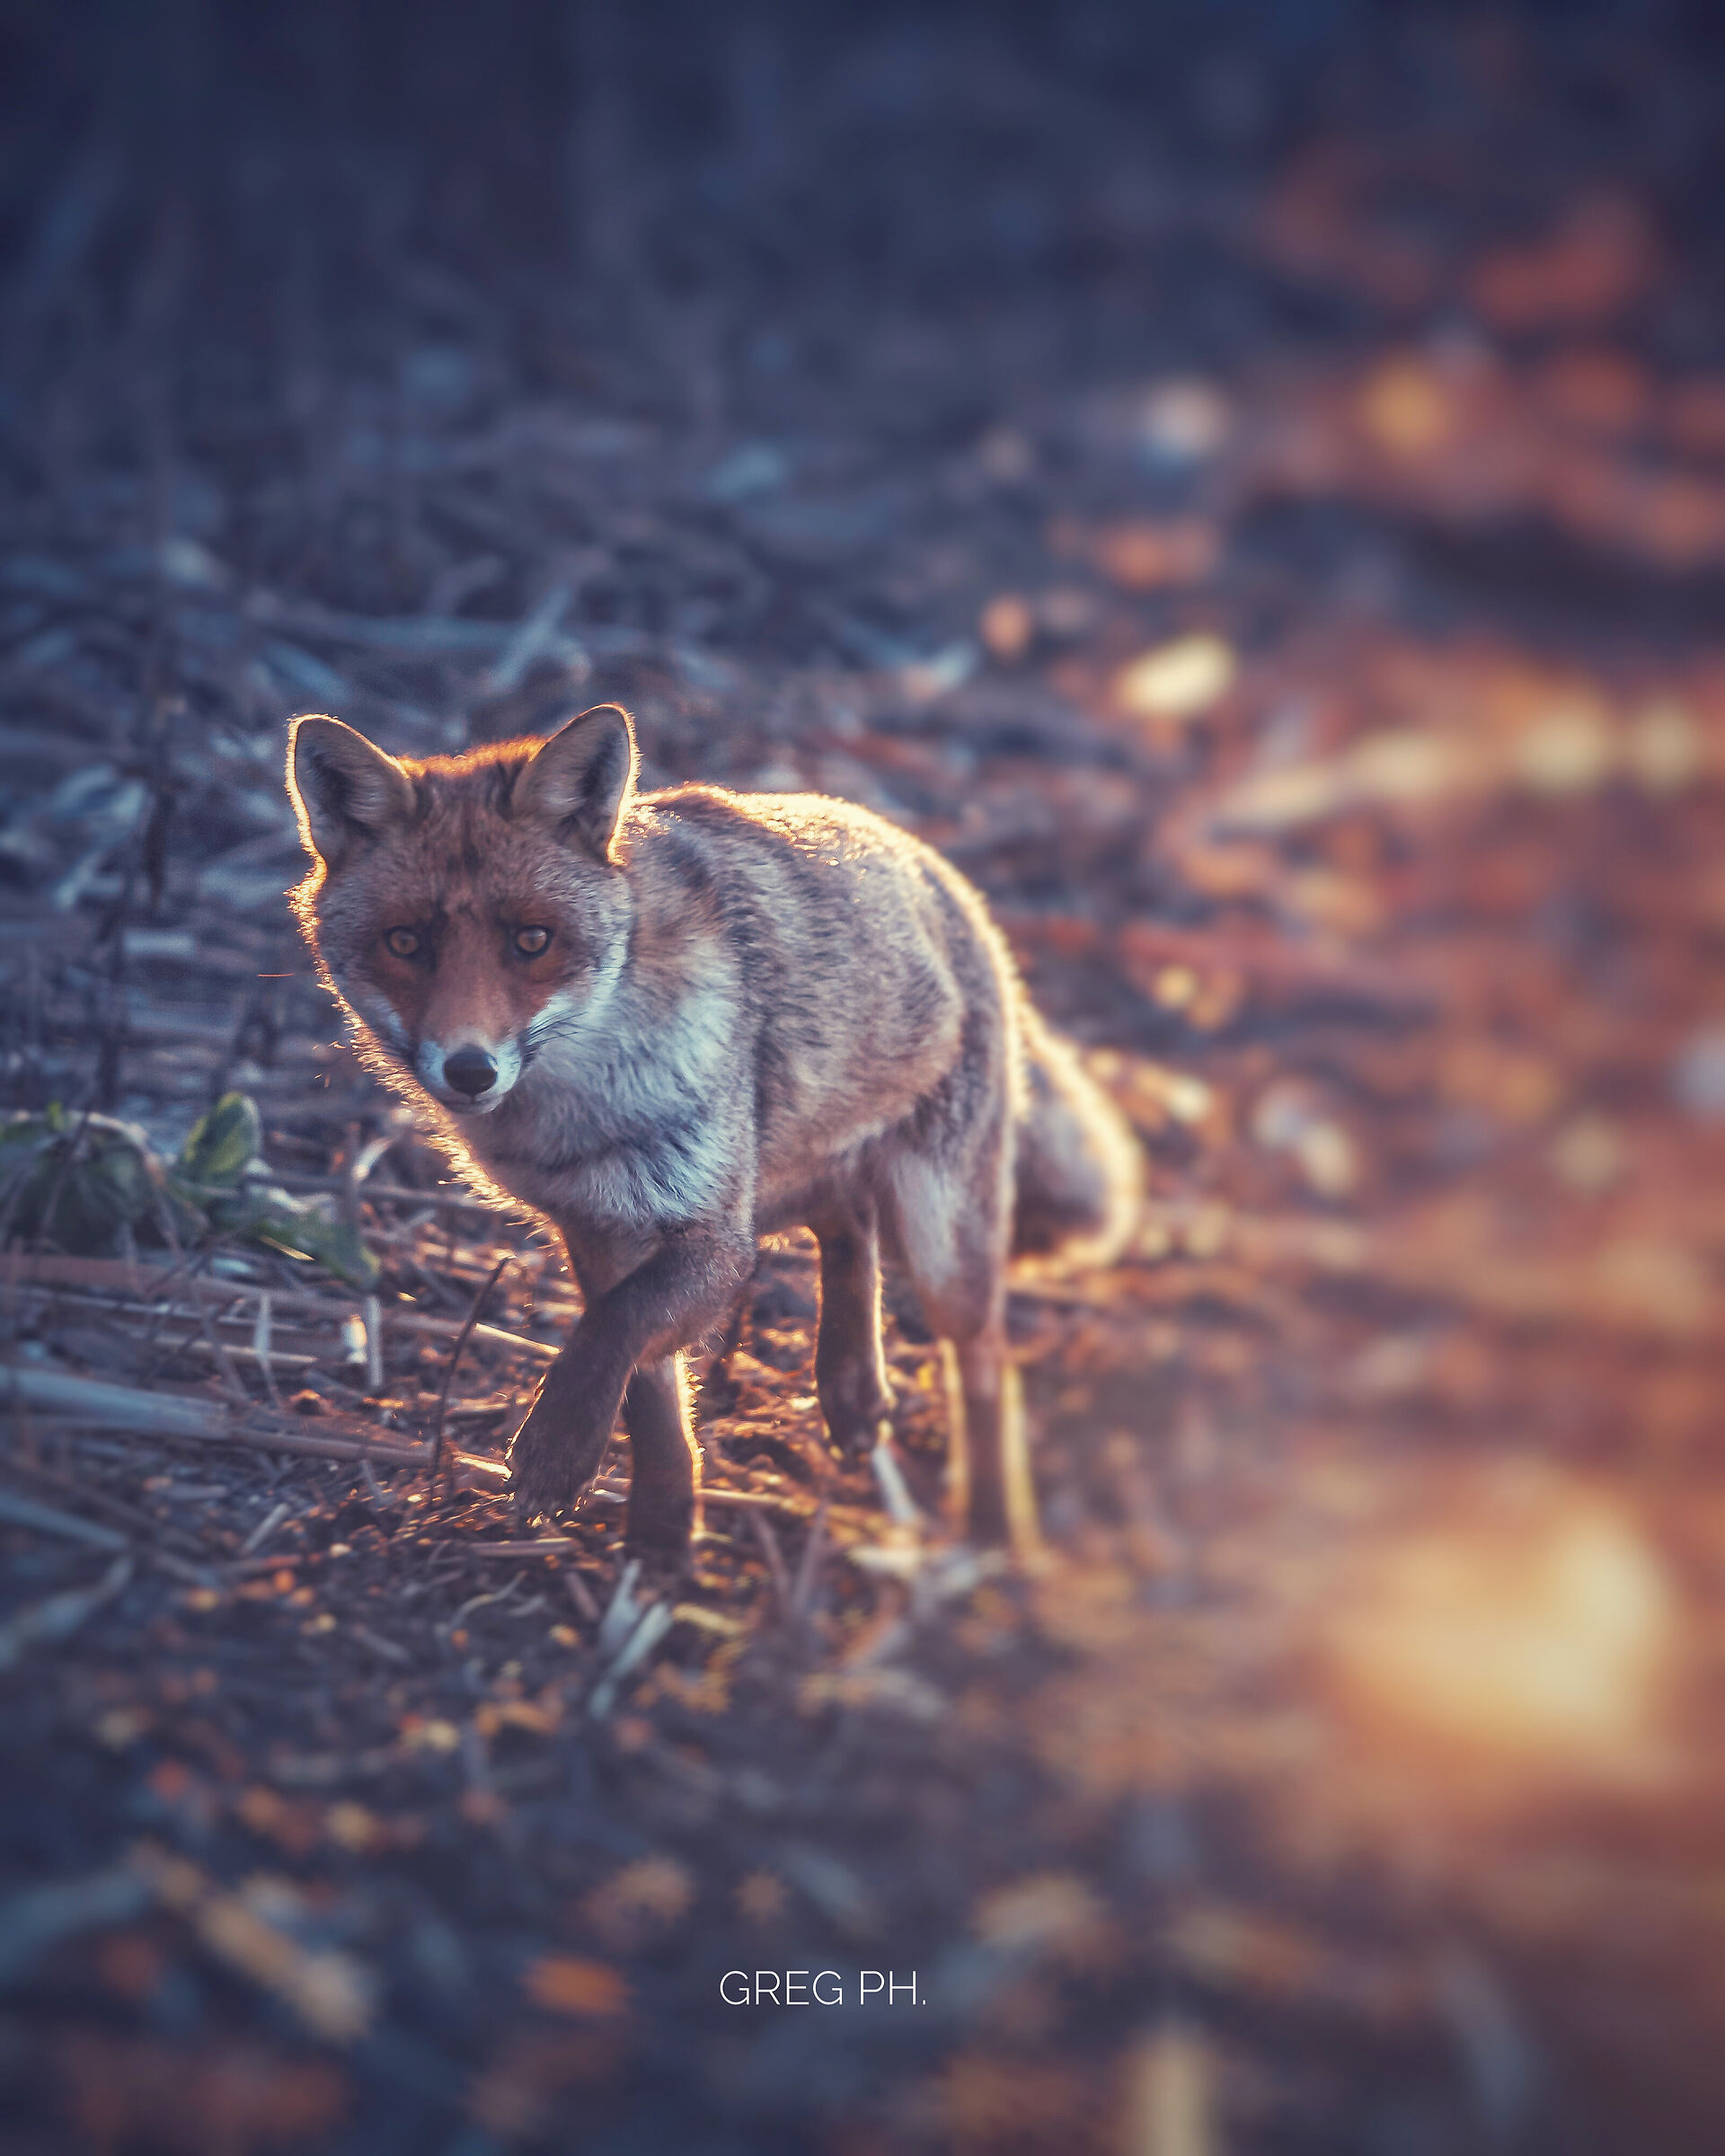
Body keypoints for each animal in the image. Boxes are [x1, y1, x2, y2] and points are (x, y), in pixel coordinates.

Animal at [286, 704, 1141, 1558]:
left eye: (533, 941)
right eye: (406, 943)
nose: (469, 1070)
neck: (578, 1113)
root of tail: (945, 874)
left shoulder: (713, 1234)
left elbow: (615, 1328)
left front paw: (558, 1455)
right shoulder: (597, 1226)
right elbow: (646, 1391)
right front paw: (662, 1533)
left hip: (938, 1245)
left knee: (986, 1355)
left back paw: (992, 1526)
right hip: (790, 1179)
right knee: (848, 1221)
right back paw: (850, 1386)